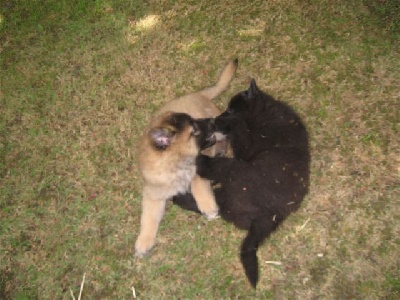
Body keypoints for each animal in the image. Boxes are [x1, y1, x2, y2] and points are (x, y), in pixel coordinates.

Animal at [136, 59, 238, 256]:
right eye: (195, 130)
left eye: (195, 121)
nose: (212, 121)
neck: (174, 164)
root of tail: (198, 95)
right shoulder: (153, 194)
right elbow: (148, 218)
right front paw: (143, 241)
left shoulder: (201, 164)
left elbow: (198, 182)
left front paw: (207, 205)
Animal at [172, 78, 310, 288]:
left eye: (230, 109)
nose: (214, 120)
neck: (264, 111)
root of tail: (271, 216)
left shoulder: (246, 145)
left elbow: (238, 130)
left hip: (237, 173)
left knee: (214, 188)